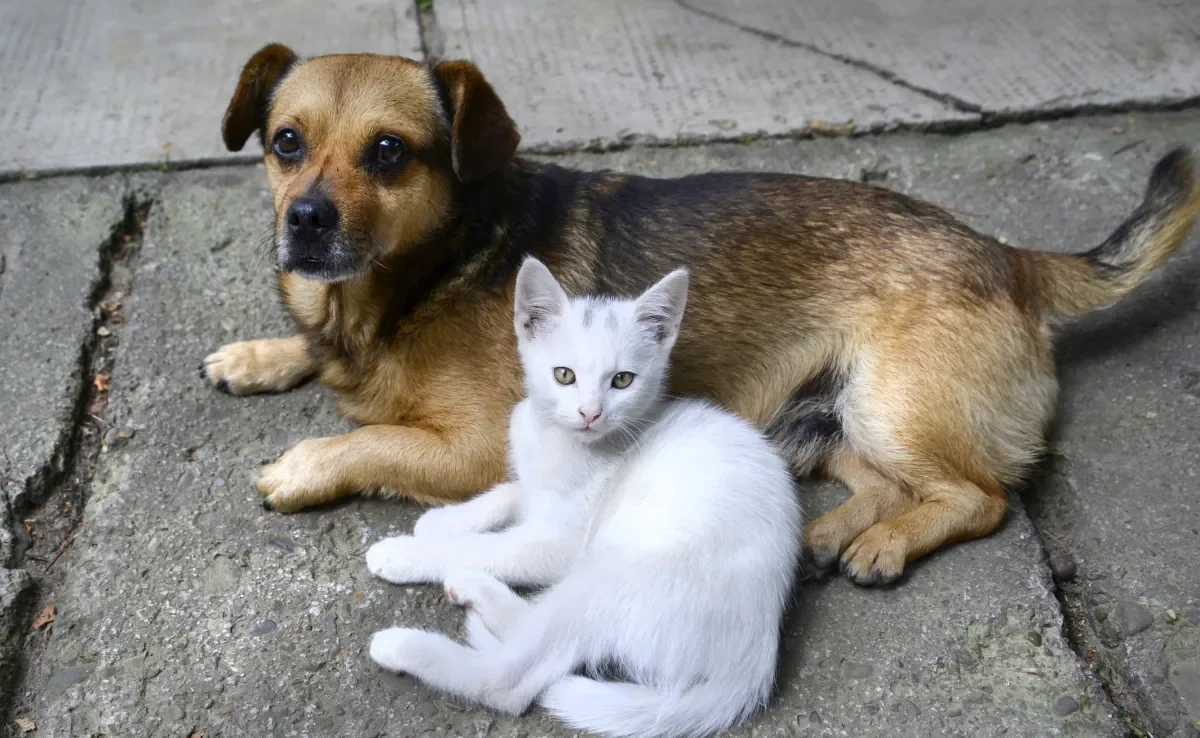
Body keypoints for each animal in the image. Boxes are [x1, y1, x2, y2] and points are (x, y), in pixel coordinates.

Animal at [206, 44, 1200, 588]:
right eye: (285, 143)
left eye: (389, 152)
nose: (305, 221)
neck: (426, 272)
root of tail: (1010, 255)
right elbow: (313, 353)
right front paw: (259, 355)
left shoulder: (481, 447)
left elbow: (369, 441)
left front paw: (303, 464)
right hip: (827, 417)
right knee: (888, 483)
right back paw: (837, 533)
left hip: (893, 402)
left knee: (980, 497)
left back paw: (884, 547)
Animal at [360, 258, 801, 738]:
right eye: (564, 375)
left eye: (623, 380)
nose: (591, 413)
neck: (560, 440)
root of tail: (754, 663)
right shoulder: (535, 485)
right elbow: (510, 492)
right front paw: (445, 520)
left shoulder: (562, 544)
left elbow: (491, 546)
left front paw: (408, 552)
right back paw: (477, 592)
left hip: (613, 569)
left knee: (513, 679)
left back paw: (407, 643)